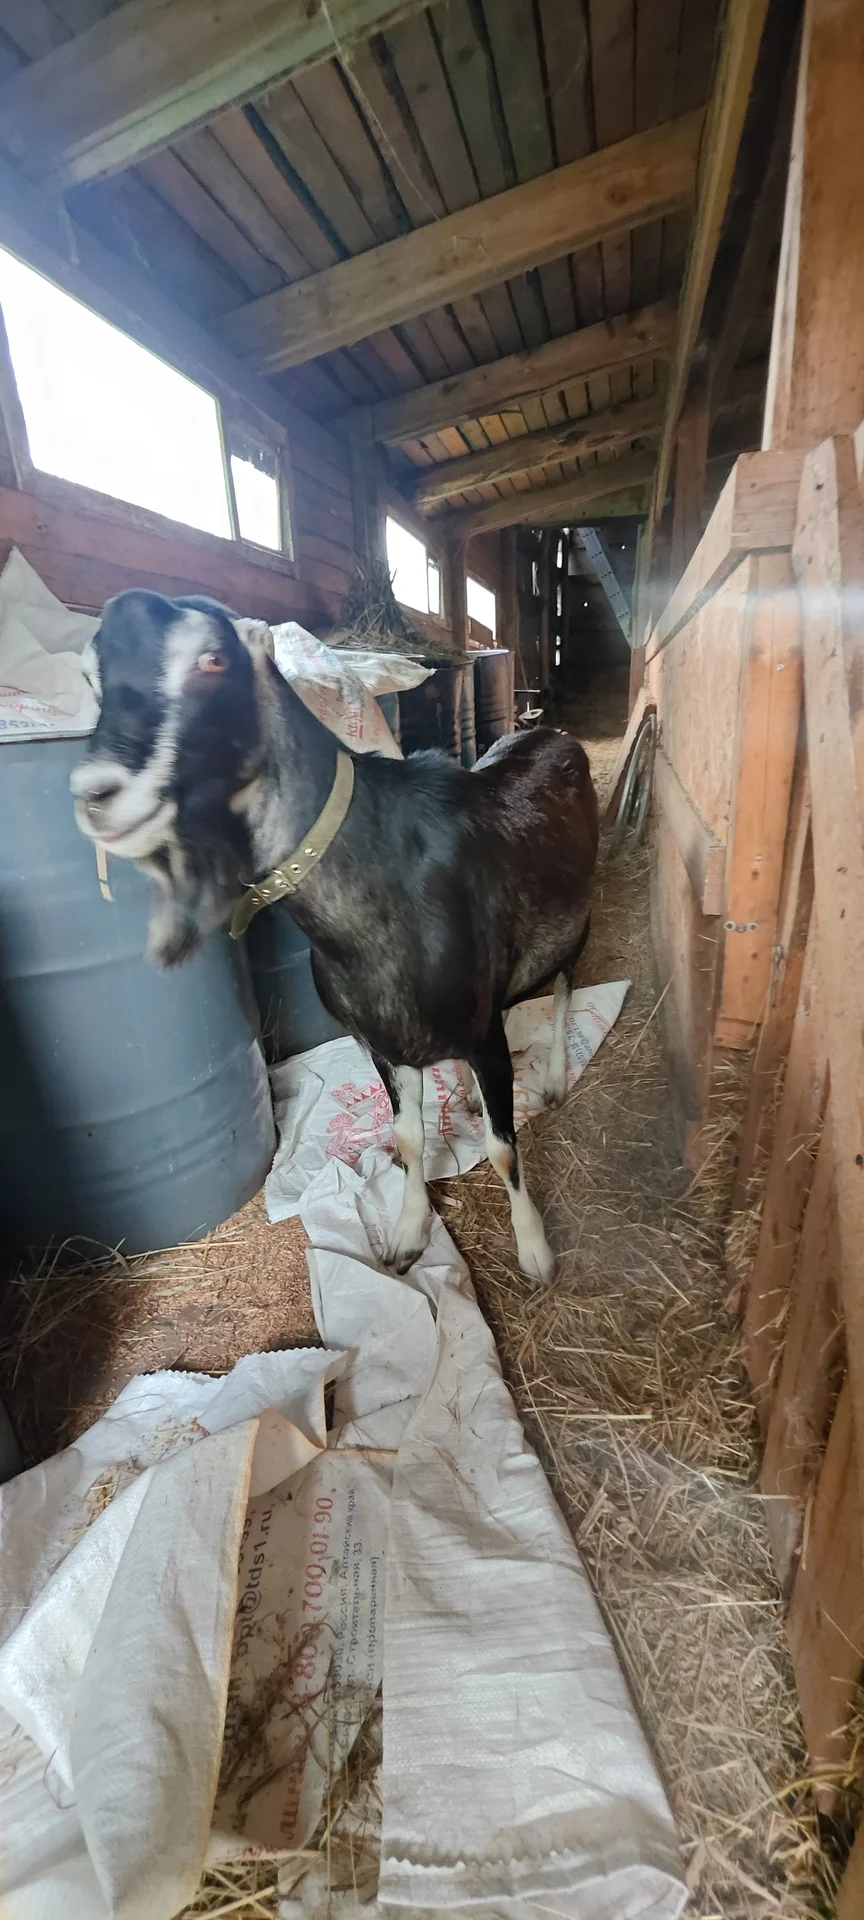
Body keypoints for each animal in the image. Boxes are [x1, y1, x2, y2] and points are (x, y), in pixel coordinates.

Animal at [71, 591, 598, 1285]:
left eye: (212, 659)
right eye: (91, 674)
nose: (96, 795)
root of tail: (549, 733)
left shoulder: (484, 1028)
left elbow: (503, 1147)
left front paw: (535, 1251)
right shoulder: (380, 1040)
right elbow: (409, 1138)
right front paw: (405, 1234)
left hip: (576, 922)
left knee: (563, 990)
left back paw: (557, 1078)